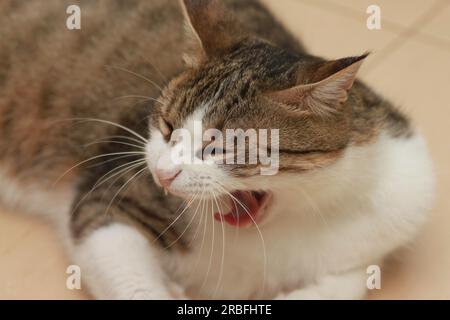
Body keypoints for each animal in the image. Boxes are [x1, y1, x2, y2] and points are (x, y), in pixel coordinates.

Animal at [0, 0, 436, 300]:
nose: (162, 174)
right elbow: (129, 273)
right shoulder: (110, 195)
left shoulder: (381, 222)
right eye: (167, 126)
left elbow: (349, 281)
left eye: (223, 147)